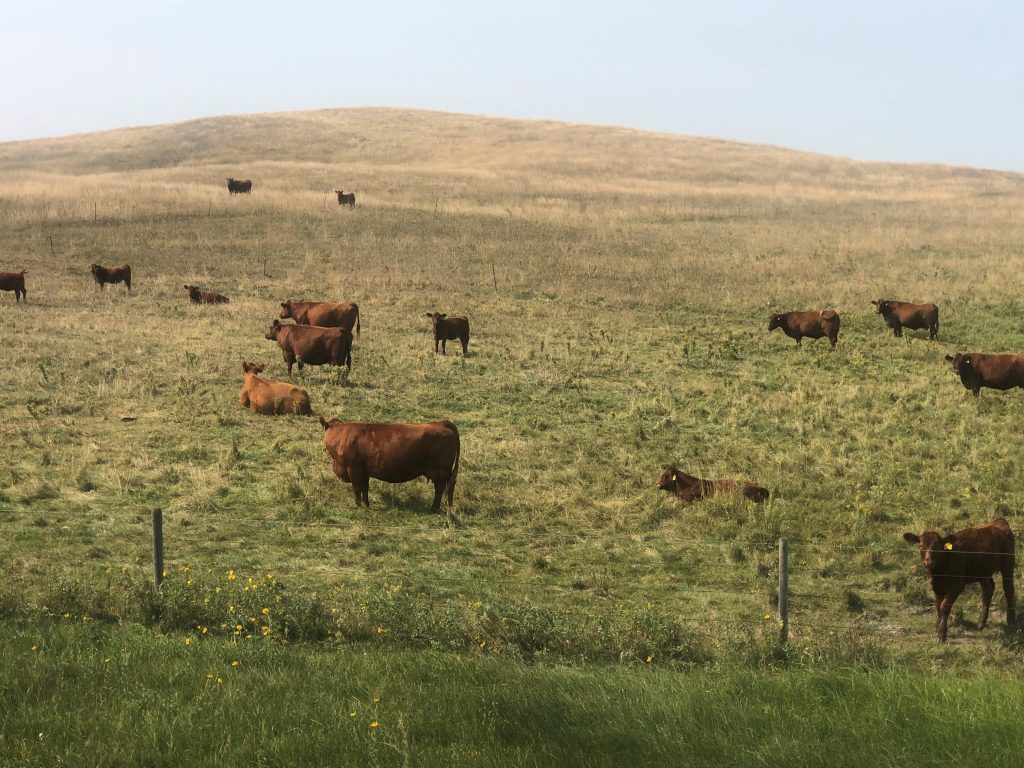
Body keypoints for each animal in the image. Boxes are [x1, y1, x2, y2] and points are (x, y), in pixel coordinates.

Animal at [319, 415, 460, 512]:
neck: (341, 435)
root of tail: (443, 423)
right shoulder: (364, 470)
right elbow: (365, 488)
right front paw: (366, 505)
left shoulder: (354, 468)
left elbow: (357, 488)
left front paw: (358, 506)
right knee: (445, 487)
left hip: (442, 469)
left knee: (442, 488)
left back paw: (435, 508)